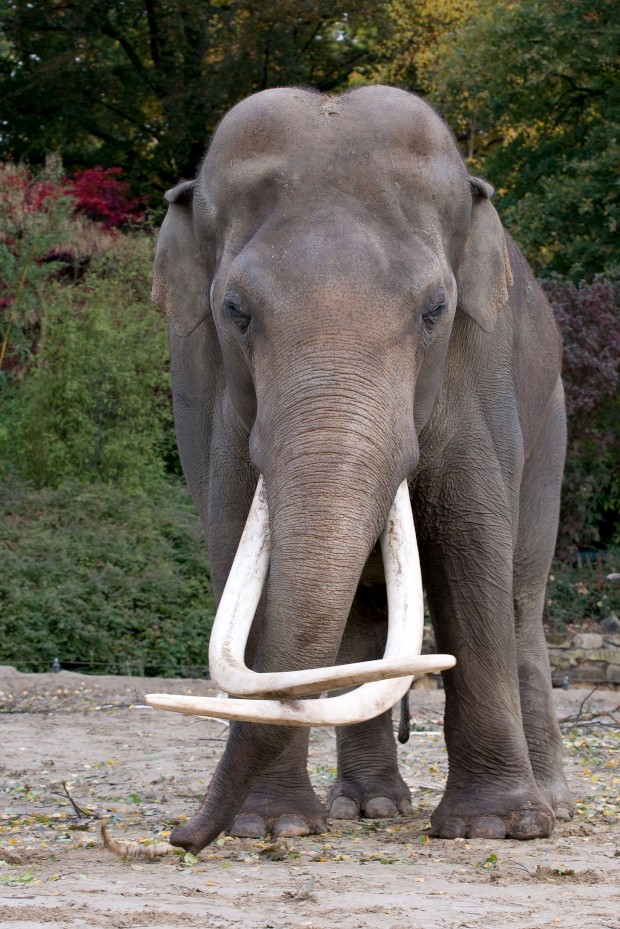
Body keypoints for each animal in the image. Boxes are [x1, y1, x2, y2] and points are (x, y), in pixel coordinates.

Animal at [149, 85, 572, 855]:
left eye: (436, 309)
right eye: (235, 311)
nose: (180, 837)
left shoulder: (478, 371)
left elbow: (471, 545)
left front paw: (494, 827)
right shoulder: (207, 394)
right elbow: (235, 542)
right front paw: (273, 824)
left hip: (551, 426)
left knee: (523, 596)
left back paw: (551, 802)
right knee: (365, 619)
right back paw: (368, 806)